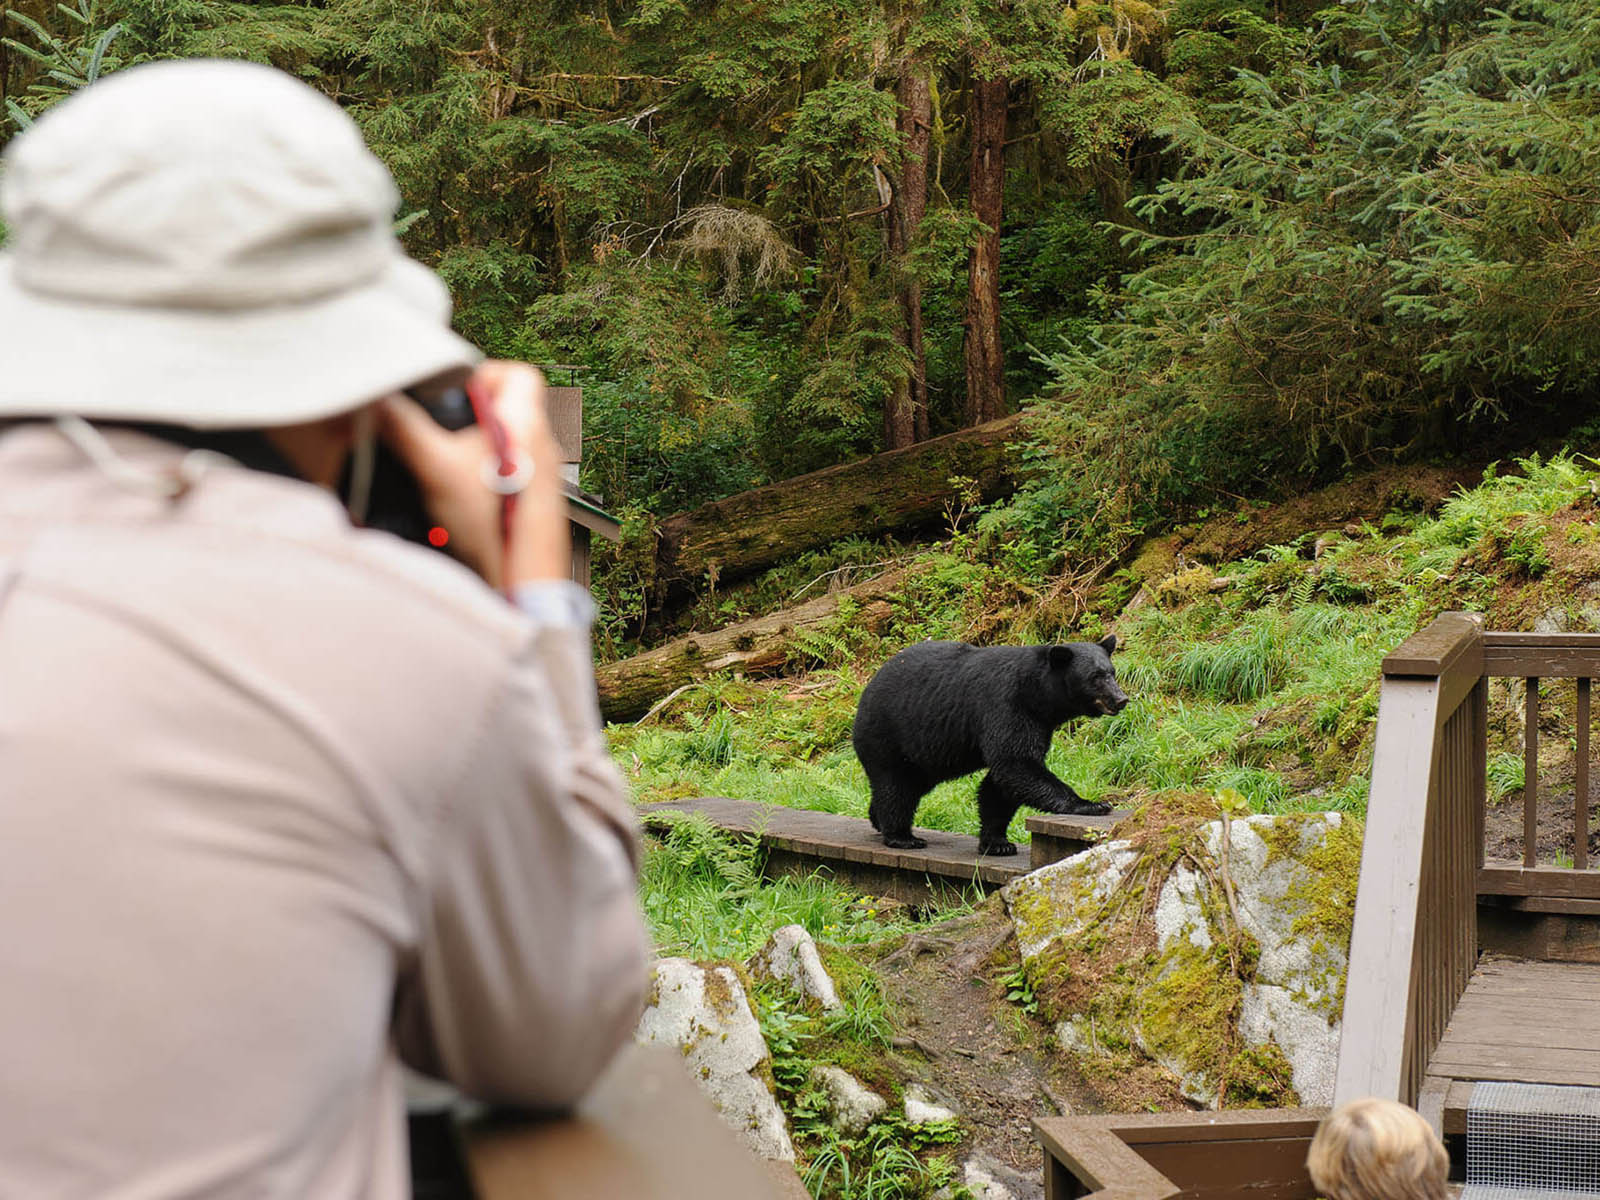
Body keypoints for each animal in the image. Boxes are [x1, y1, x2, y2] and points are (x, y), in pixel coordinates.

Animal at [851, 640, 1126, 857]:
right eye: (1095, 677)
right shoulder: (1007, 705)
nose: (1121, 699)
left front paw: (997, 843)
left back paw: (877, 819)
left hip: (923, 758)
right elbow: (1016, 764)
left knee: (907, 786)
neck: (1036, 694)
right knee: (895, 787)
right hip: (889, 735)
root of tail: (866, 692)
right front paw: (1091, 804)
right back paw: (902, 837)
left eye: (1112, 672)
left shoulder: (1038, 723)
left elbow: (1000, 784)